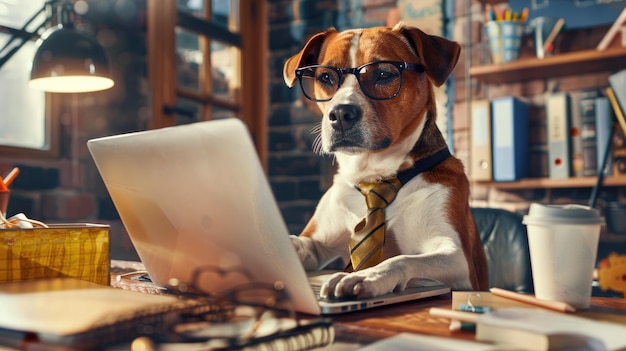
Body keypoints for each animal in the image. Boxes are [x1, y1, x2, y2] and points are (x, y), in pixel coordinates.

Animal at [282, 23, 488, 302]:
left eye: (383, 73)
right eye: (325, 77)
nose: (340, 114)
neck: (375, 176)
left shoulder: (457, 257)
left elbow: (402, 259)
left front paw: (365, 276)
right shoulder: (318, 242)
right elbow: (302, 244)